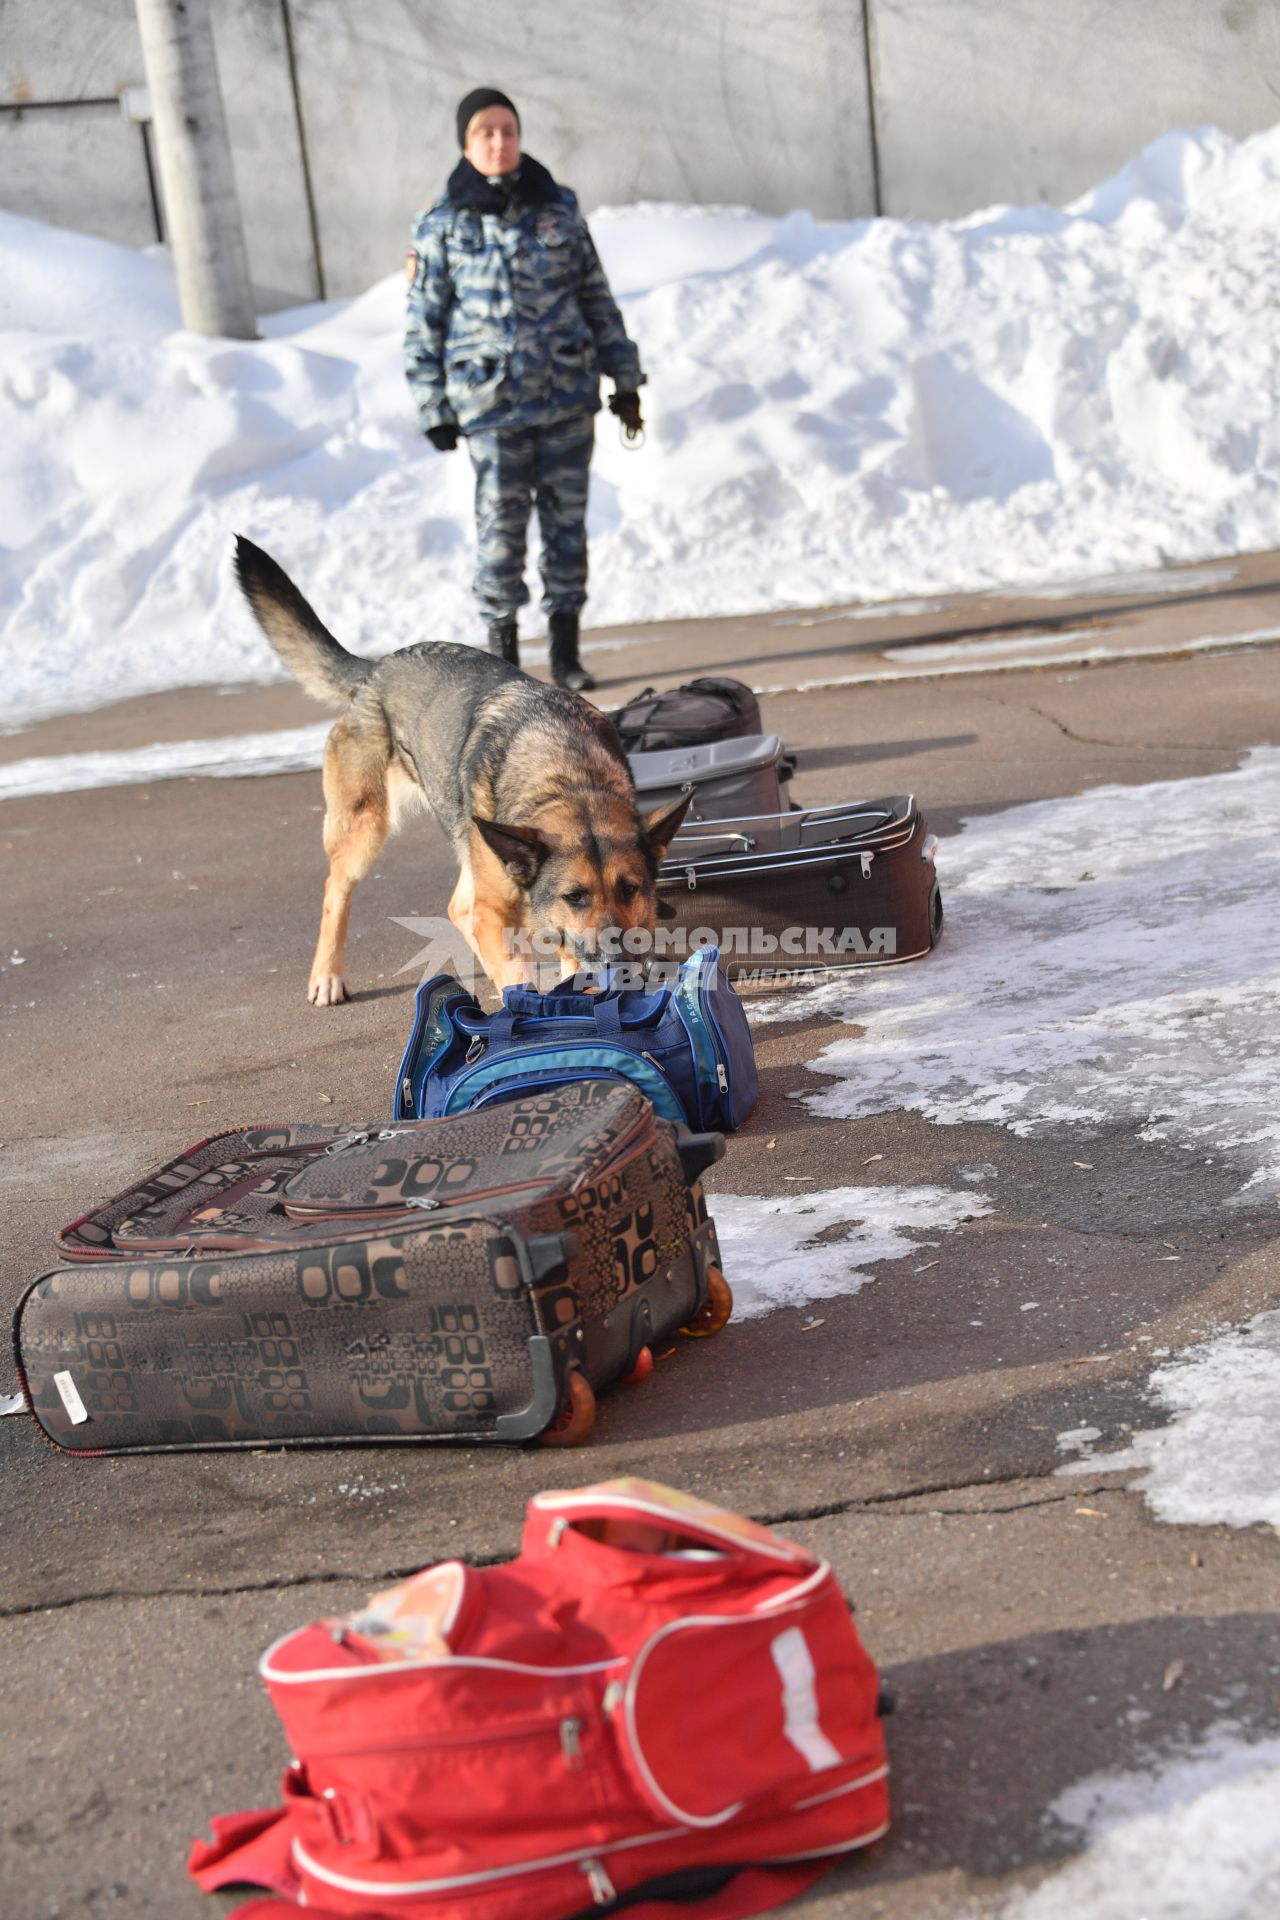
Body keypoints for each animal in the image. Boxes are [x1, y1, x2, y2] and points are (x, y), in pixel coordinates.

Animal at [230, 533, 690, 998]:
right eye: (575, 896)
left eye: (629, 889)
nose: (620, 964)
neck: (568, 775)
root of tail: (377, 668)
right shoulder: (497, 912)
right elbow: (518, 972)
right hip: (365, 829)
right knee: (338, 889)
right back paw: (327, 975)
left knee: (457, 908)